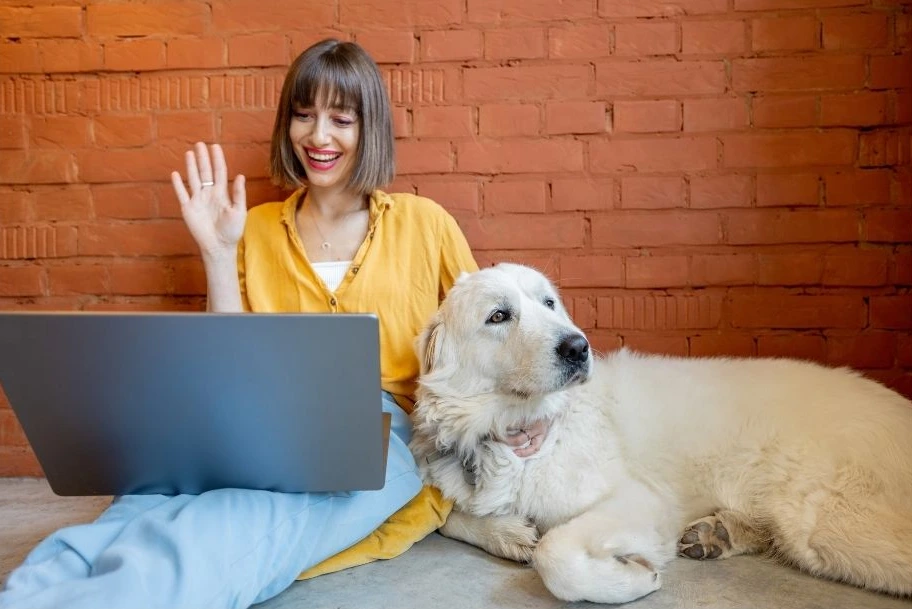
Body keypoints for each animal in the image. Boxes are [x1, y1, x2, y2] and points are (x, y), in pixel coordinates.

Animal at [410, 262, 912, 604]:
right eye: (498, 316)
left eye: (548, 303)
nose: (578, 347)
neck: (508, 431)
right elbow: (448, 519)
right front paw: (509, 532)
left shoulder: (639, 500)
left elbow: (553, 554)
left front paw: (630, 581)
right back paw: (718, 534)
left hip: (826, 527)